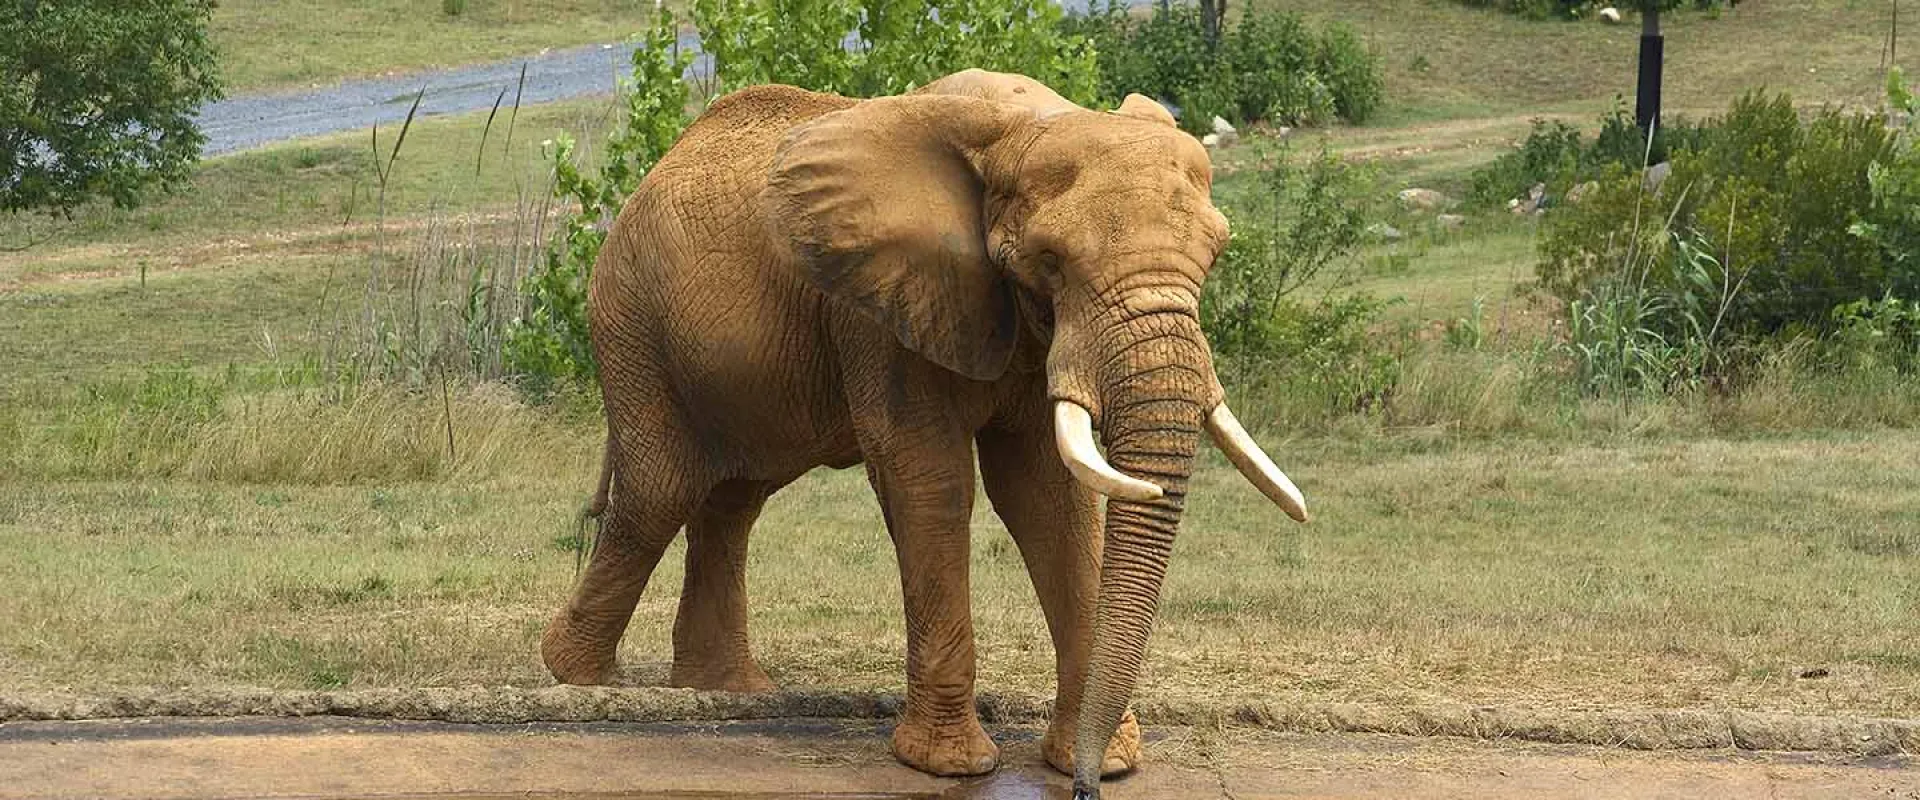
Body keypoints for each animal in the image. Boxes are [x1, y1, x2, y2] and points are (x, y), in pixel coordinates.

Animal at [539, 68, 1308, 799]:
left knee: (734, 500)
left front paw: (1107, 762)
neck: (1025, 119)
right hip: (631, 321)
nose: (1086, 789)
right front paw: (951, 766)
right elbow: (930, 480)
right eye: (1051, 261)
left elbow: (1047, 495)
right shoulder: (882, 308)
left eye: (1216, 253)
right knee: (658, 493)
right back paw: (577, 678)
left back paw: (727, 691)